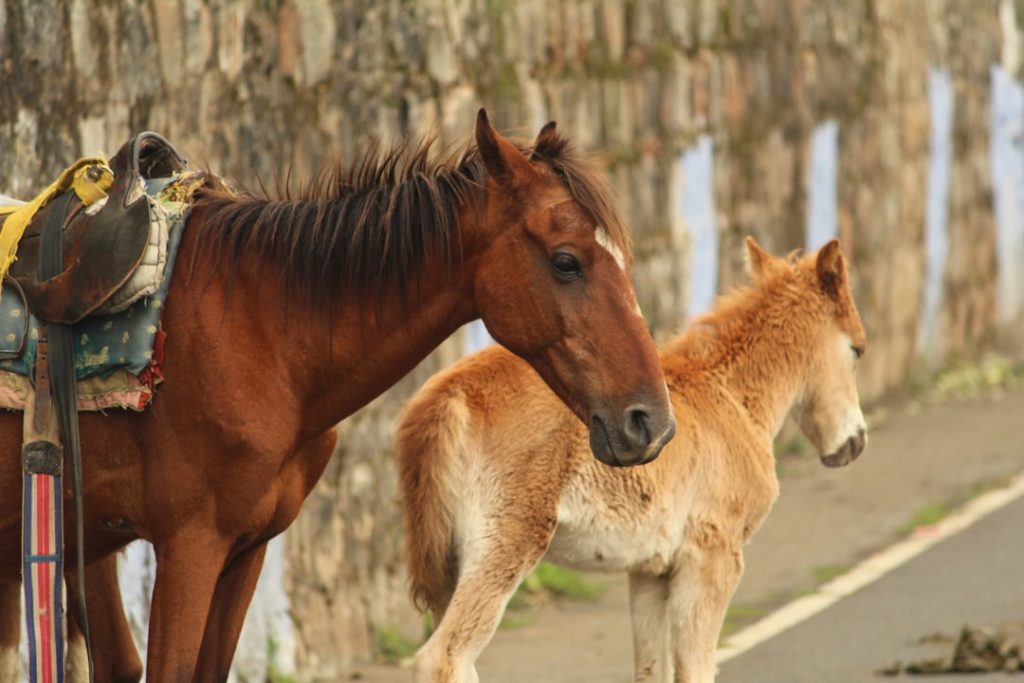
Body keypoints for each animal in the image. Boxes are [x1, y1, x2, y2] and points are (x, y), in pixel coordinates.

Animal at [396, 237, 868, 683]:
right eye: (857, 349)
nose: (856, 442)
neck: (730, 394)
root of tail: (448, 396)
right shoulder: (714, 556)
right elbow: (695, 669)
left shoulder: (650, 571)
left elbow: (651, 669)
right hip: (504, 545)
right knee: (443, 657)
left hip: (450, 564)